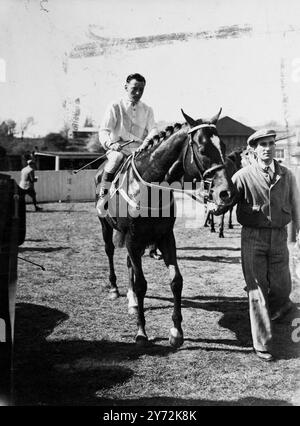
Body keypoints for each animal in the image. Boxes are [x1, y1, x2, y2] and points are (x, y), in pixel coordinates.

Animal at [97, 108, 236, 348]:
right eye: (202, 149)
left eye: (224, 147)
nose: (225, 193)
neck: (149, 186)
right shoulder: (133, 239)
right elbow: (142, 284)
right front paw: (141, 332)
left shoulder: (165, 237)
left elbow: (176, 280)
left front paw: (176, 331)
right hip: (107, 227)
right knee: (110, 252)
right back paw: (114, 289)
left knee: (130, 264)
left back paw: (132, 300)